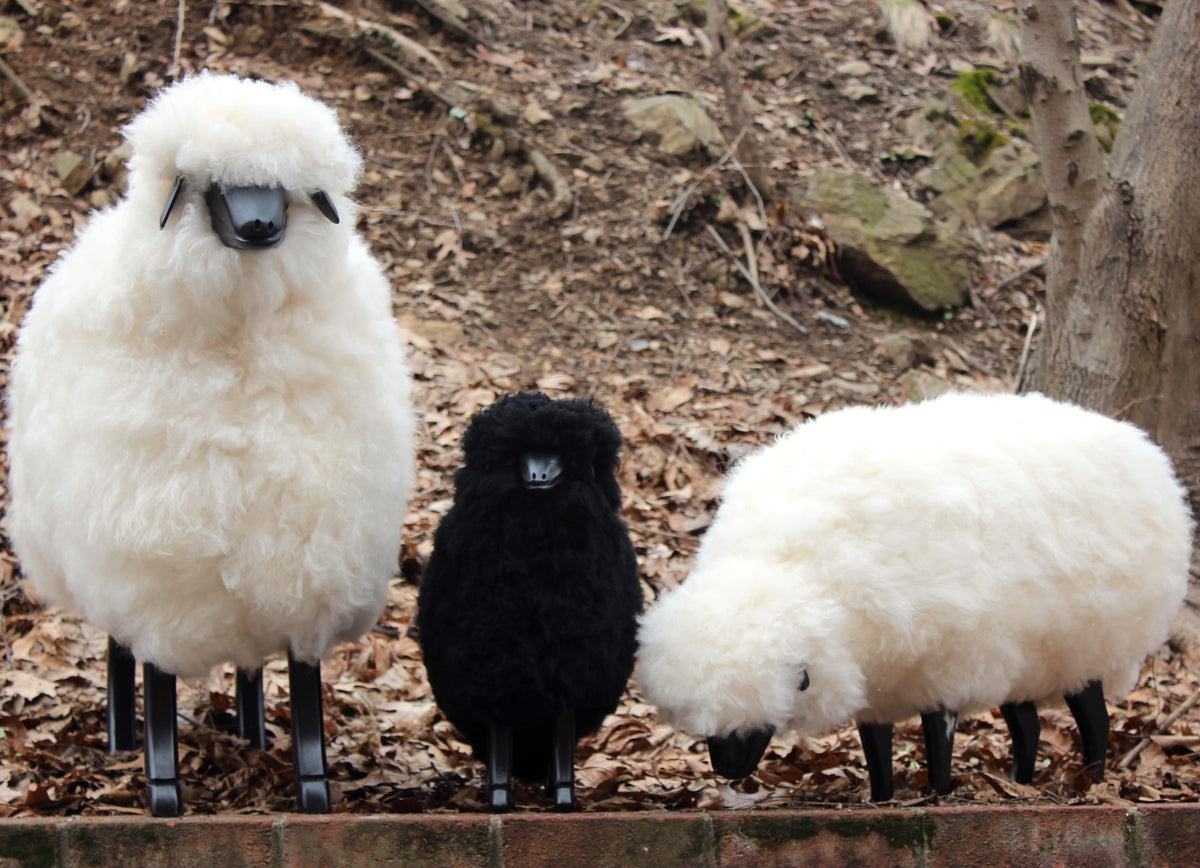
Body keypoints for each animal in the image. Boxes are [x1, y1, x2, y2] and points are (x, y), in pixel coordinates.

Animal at [6, 73, 415, 816]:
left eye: (281, 189)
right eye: (213, 186)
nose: (259, 227)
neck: (237, 330)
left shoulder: (306, 562)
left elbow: (304, 691)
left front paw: (312, 785)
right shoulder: (158, 584)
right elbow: (160, 689)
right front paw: (162, 785)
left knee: (249, 670)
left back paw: (251, 732)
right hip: (108, 571)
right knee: (119, 655)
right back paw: (120, 739)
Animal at [416, 391, 642, 811]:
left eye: (561, 455)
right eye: (520, 454)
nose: (538, 477)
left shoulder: (571, 666)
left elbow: (564, 734)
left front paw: (565, 795)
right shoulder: (496, 665)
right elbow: (500, 735)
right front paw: (499, 796)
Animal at [636, 392, 1193, 801]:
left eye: (752, 724)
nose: (728, 772)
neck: (792, 568)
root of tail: (1146, 451)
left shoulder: (946, 664)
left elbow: (937, 737)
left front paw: (937, 795)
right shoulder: (882, 682)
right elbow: (876, 748)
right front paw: (881, 798)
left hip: (1089, 643)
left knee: (1094, 716)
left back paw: (1092, 779)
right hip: (1023, 654)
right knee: (1029, 723)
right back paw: (1018, 783)